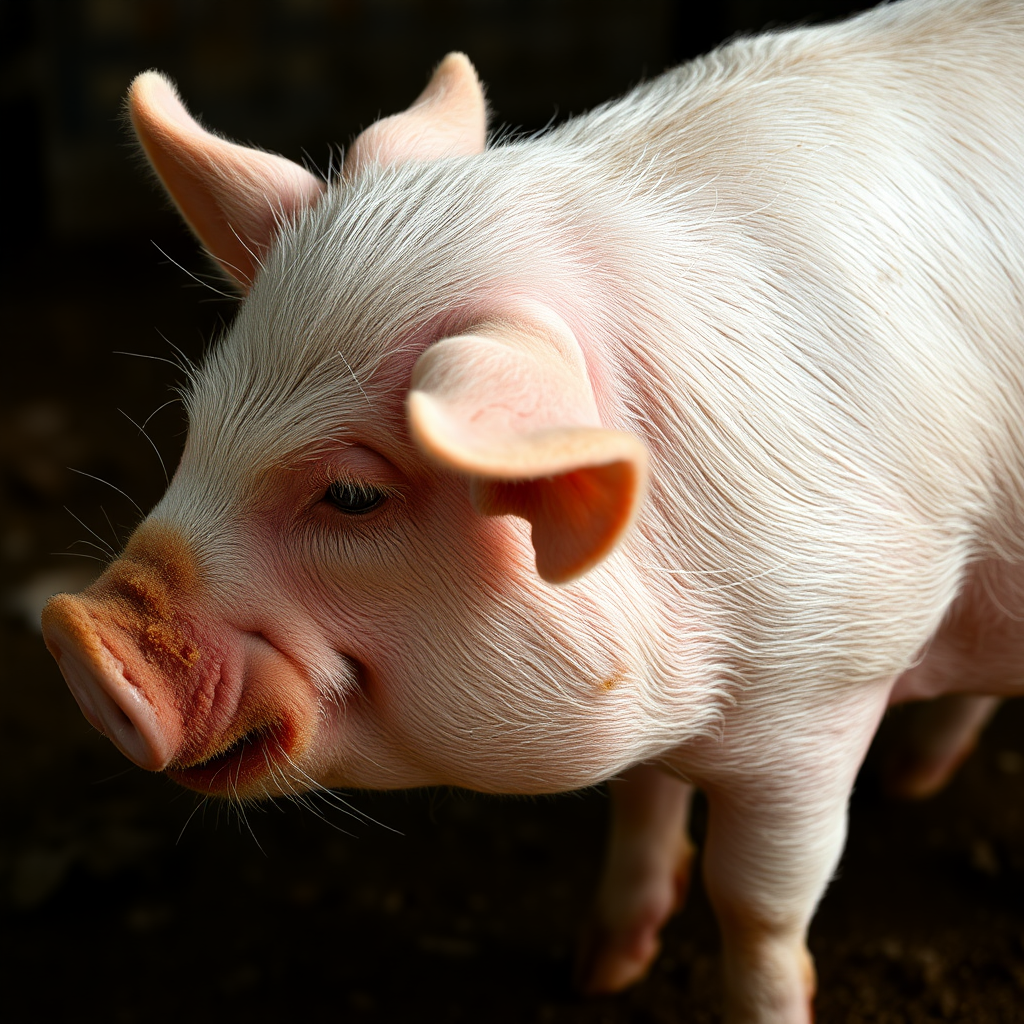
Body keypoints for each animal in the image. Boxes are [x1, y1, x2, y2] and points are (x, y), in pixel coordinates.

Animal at [37, 0, 1024, 1019]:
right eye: (197, 421)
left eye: (353, 496)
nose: (71, 632)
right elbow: (642, 800)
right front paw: (600, 972)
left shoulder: (833, 684)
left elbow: (758, 905)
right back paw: (913, 779)